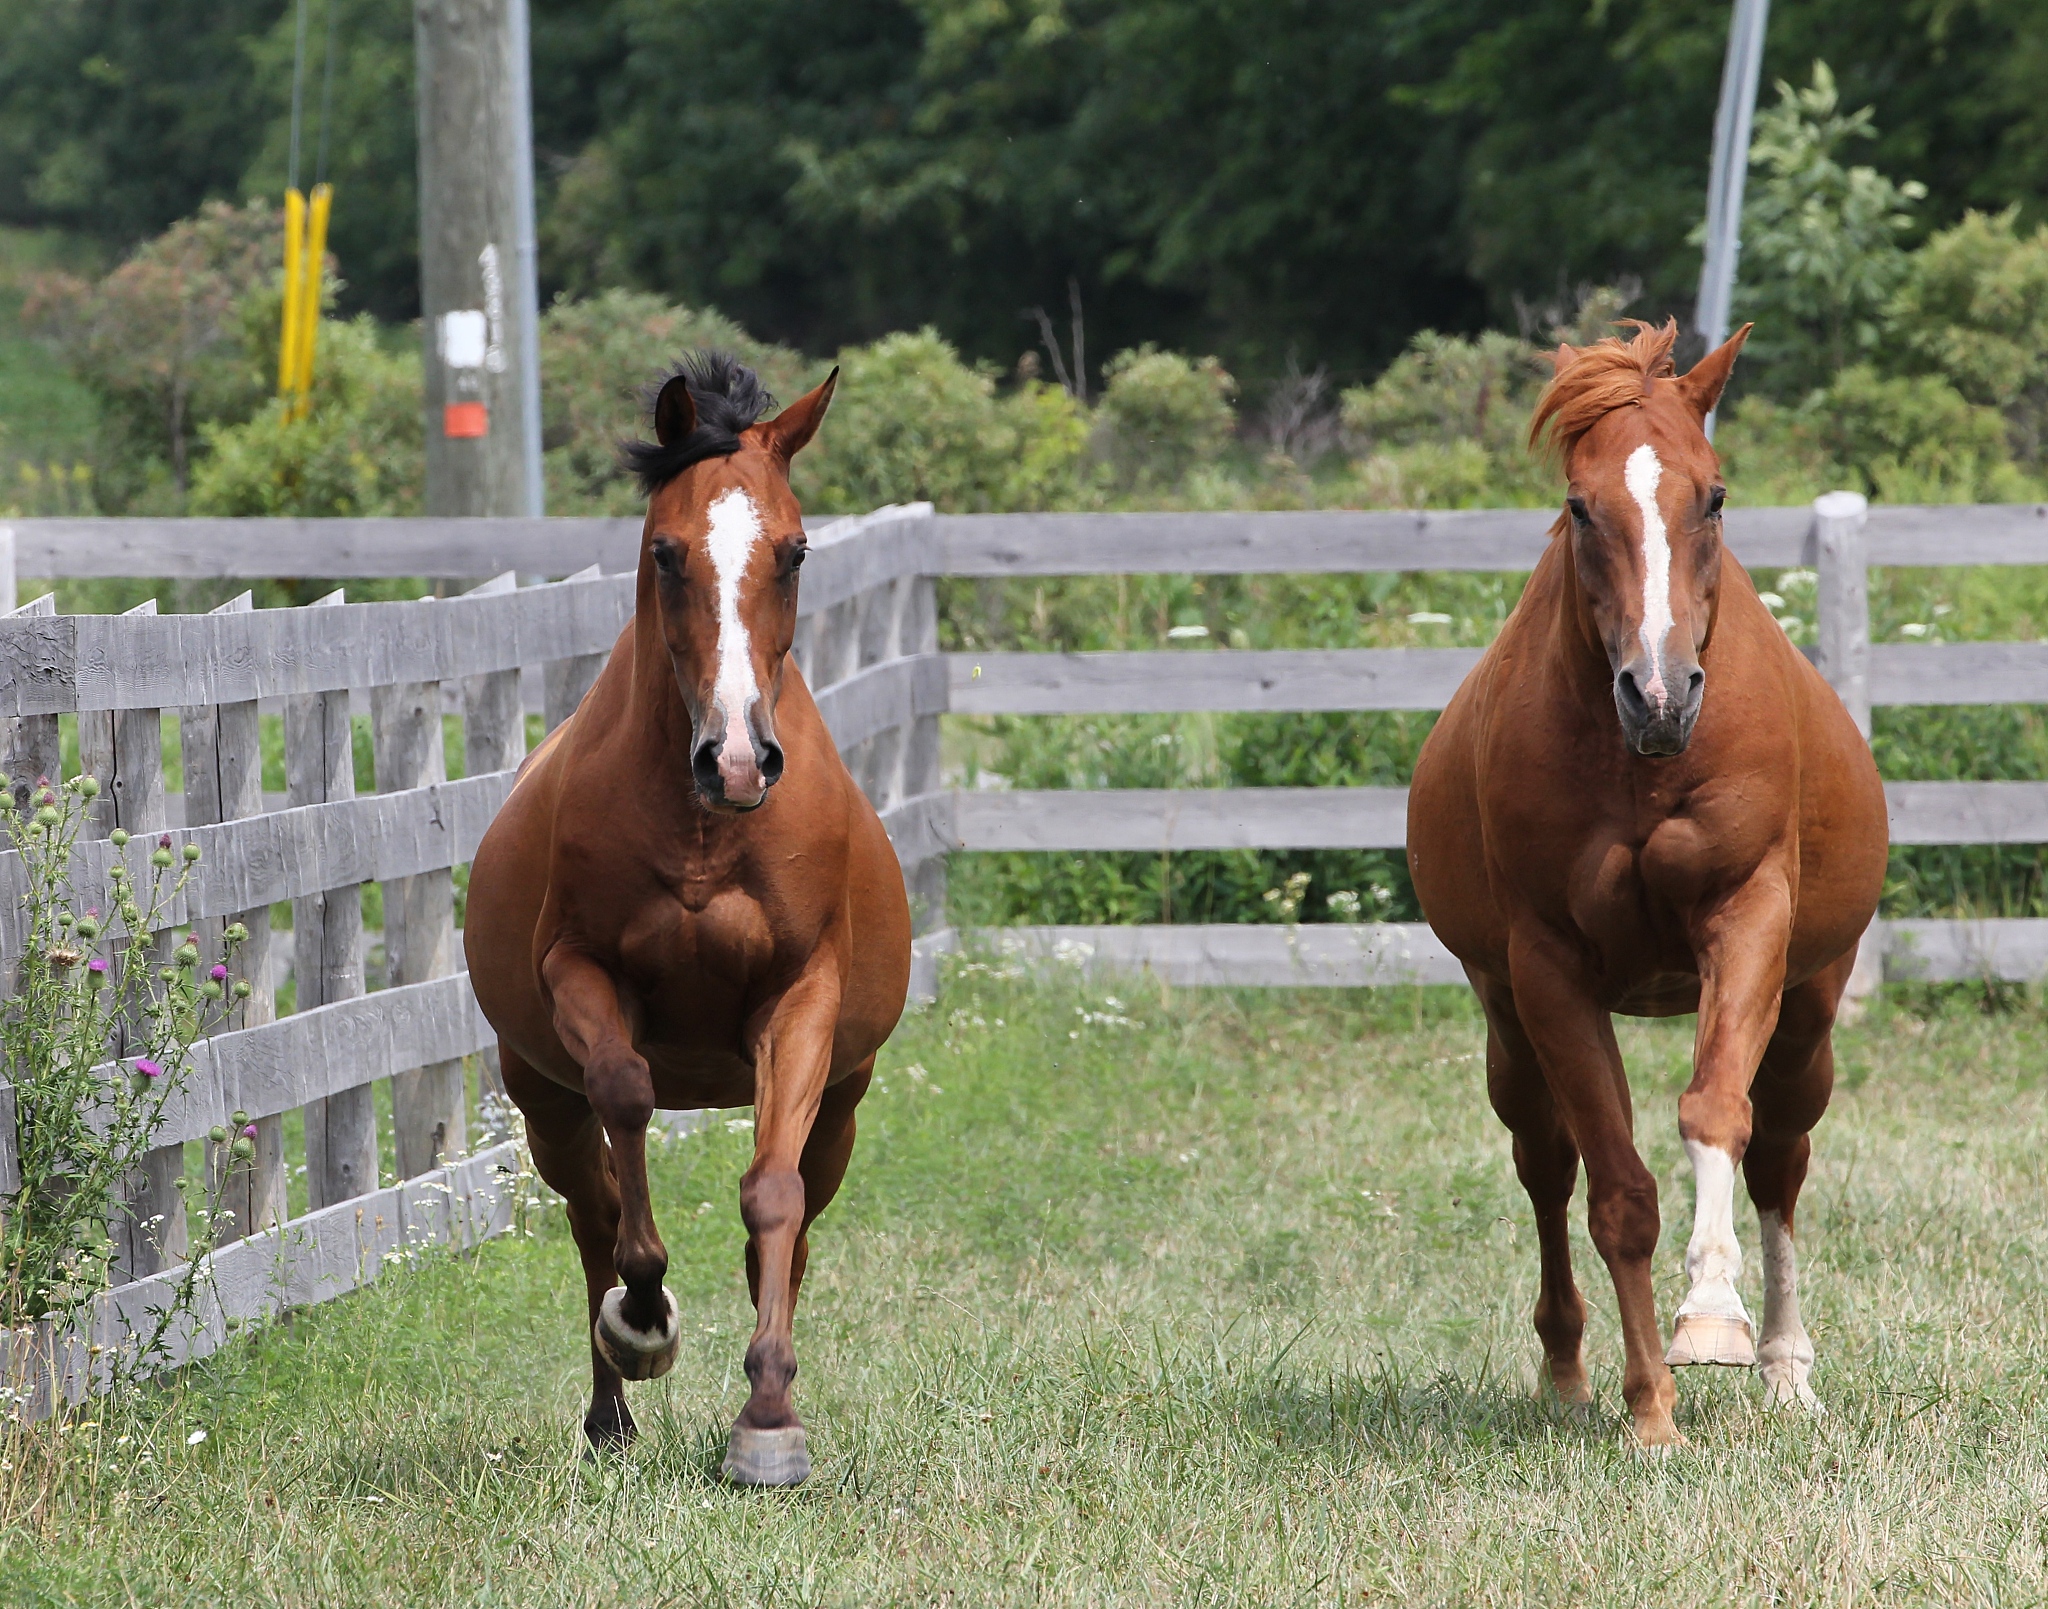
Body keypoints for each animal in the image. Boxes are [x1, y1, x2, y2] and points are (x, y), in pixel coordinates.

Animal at [464, 352, 912, 1485]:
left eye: (794, 551)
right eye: (666, 553)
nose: (738, 759)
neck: (708, 830)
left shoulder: (801, 1002)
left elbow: (771, 1198)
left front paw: (767, 1420)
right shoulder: (578, 978)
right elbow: (627, 1109)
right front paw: (644, 1317)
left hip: (842, 1104)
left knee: (791, 1226)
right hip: (540, 1096)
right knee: (590, 1211)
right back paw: (609, 1408)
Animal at [1406, 320, 1888, 1447]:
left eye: (1712, 495)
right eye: (1580, 505)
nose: (1659, 694)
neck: (1642, 765)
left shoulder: (1747, 919)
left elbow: (1715, 1112)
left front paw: (1711, 1316)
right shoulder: (1547, 971)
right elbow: (1618, 1193)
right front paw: (1651, 1410)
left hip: (1809, 1007)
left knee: (1779, 1158)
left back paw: (1784, 1367)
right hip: (1507, 1024)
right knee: (1547, 1165)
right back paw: (1566, 1370)